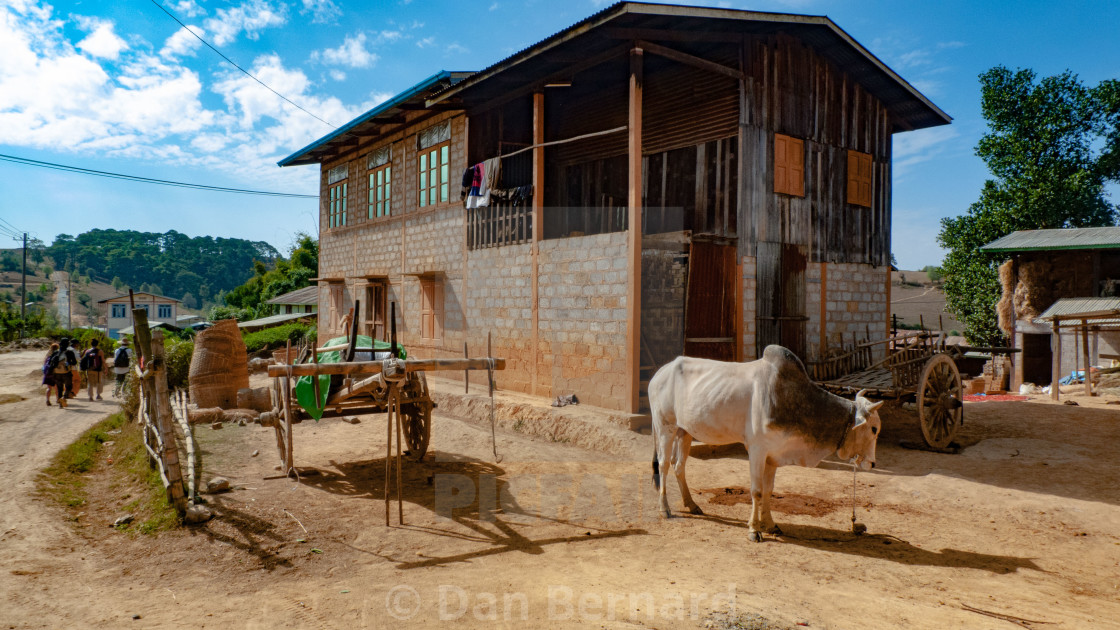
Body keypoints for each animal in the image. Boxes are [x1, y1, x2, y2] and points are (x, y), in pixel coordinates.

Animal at [649, 343, 882, 540]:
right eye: (874, 428)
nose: (871, 463)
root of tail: (660, 373)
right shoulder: (757, 450)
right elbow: (757, 490)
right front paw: (754, 530)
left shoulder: (773, 456)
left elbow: (769, 491)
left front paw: (770, 525)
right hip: (665, 427)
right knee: (663, 465)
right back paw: (664, 508)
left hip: (684, 431)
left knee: (679, 466)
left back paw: (691, 504)